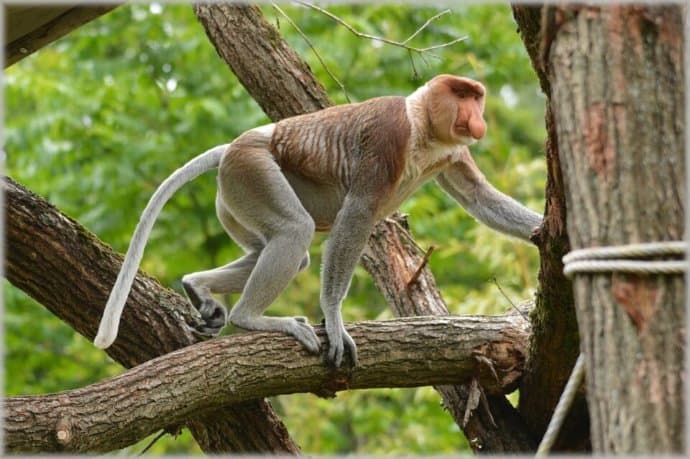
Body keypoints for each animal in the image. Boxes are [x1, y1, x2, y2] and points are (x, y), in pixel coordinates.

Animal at [92, 76, 544, 370]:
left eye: (476, 96)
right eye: (461, 95)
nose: (477, 116)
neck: (422, 124)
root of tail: (235, 146)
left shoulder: (451, 153)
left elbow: (479, 197)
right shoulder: (388, 134)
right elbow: (357, 215)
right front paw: (334, 318)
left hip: (234, 197)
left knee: (278, 250)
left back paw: (197, 286)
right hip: (251, 172)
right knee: (295, 233)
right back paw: (250, 318)